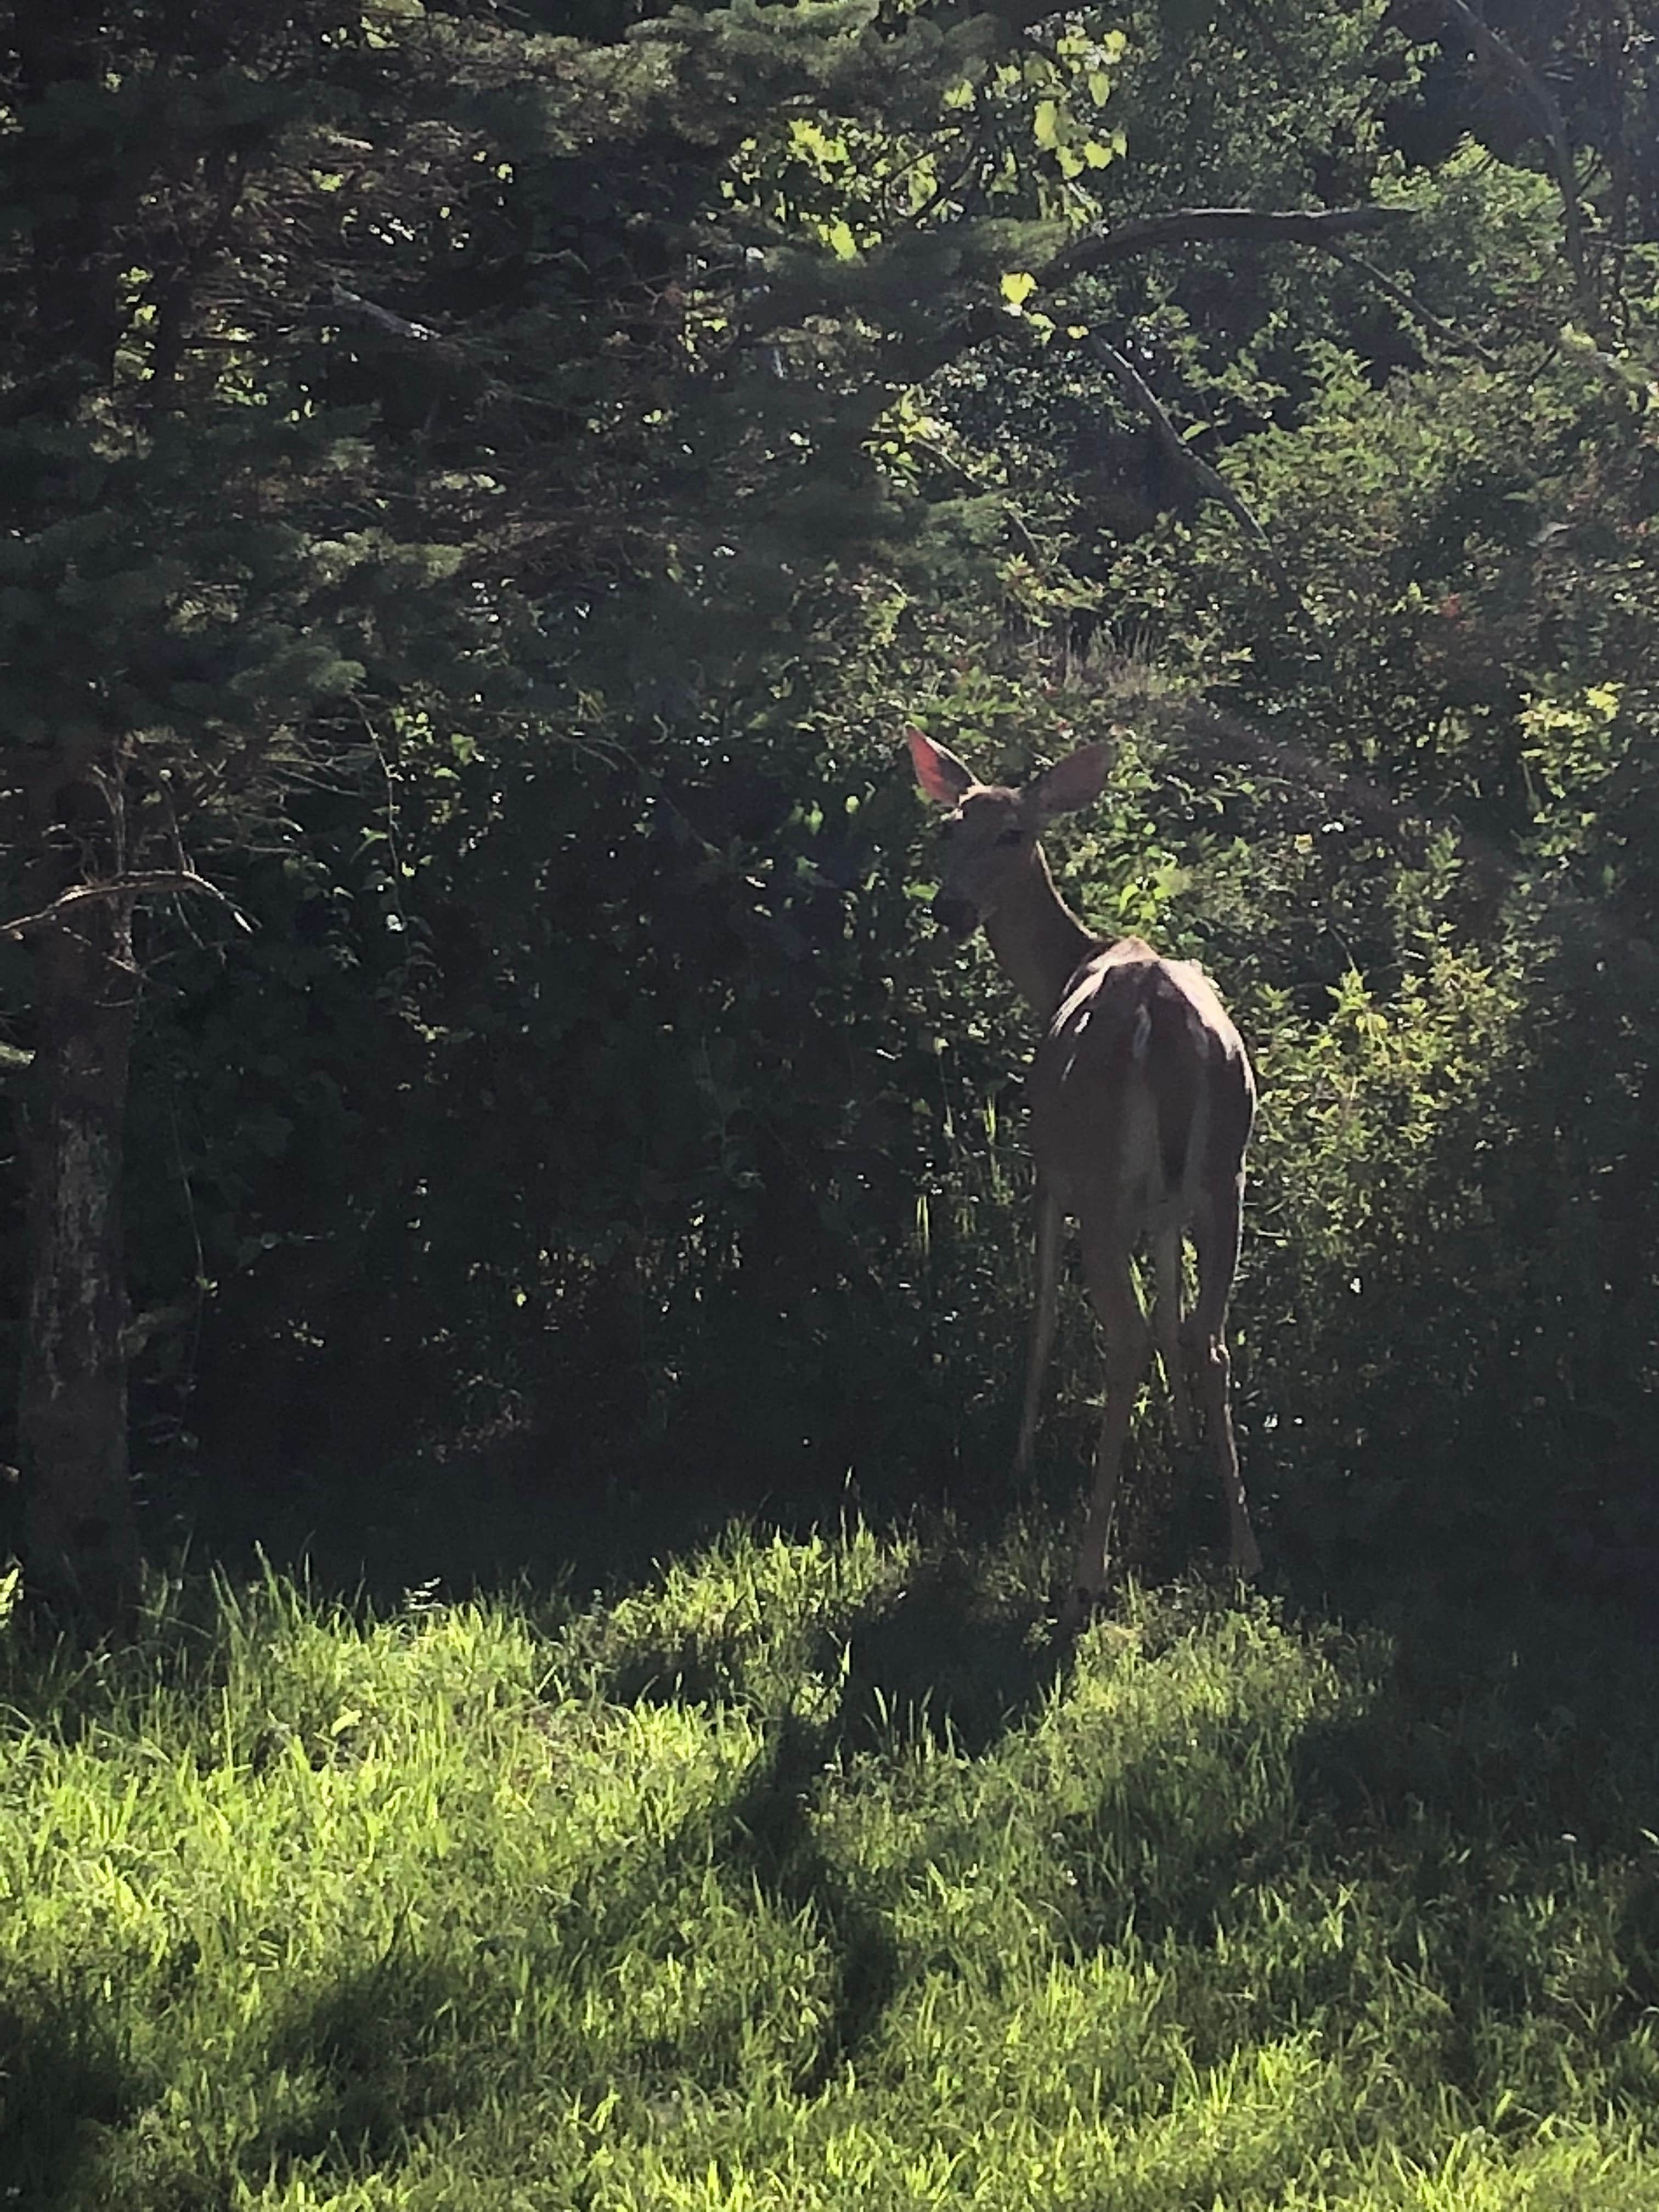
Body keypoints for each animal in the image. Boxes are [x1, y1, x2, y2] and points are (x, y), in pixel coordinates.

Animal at [911, 730, 1256, 1628]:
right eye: (947, 829)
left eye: (1013, 834)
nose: (949, 910)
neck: (1068, 966)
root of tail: (1166, 1024)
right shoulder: (1162, 1210)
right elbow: (1174, 1315)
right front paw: (1181, 1446)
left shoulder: (1049, 1173)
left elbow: (1039, 1313)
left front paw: (1019, 1460)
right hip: (1227, 1177)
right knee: (1209, 1336)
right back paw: (1242, 1545)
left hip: (1101, 1182)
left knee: (1124, 1334)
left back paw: (1087, 1567)